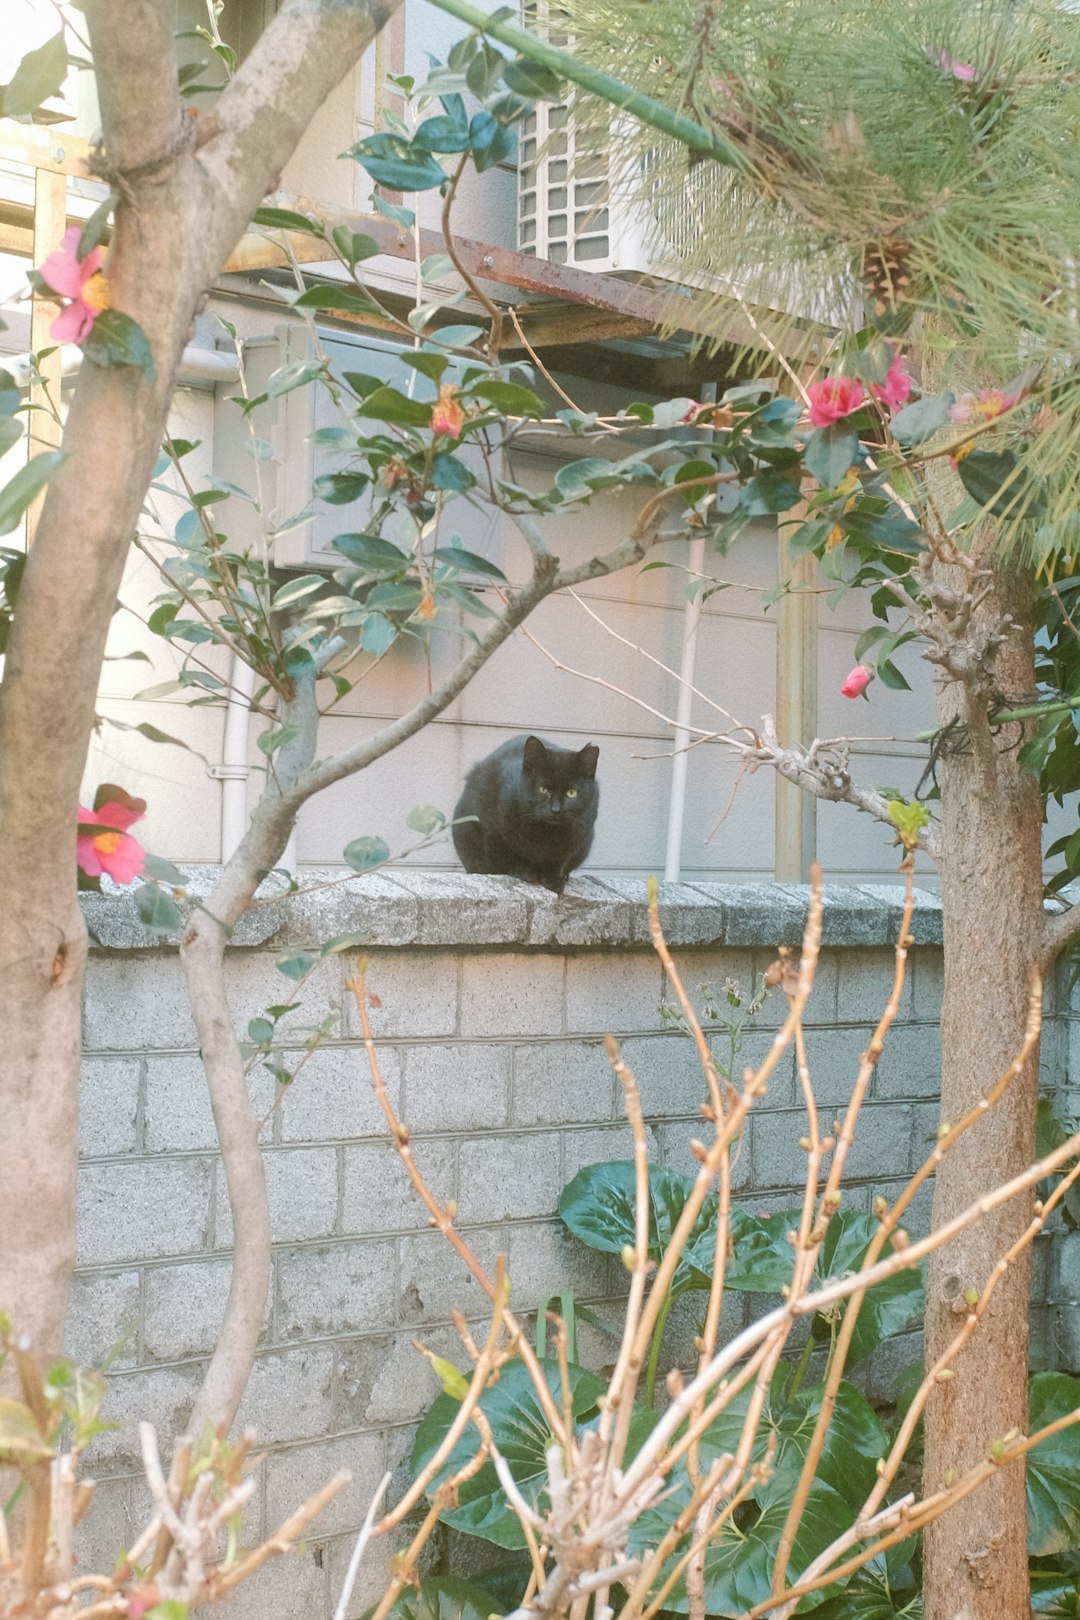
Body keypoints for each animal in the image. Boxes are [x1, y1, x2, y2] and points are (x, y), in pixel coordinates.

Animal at [450, 738, 599, 900]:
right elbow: (508, 855)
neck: (545, 833)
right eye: (543, 789)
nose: (555, 810)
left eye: (571, 793)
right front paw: (523, 871)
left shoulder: (576, 838)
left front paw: (553, 879)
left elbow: (558, 859)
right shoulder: (493, 831)